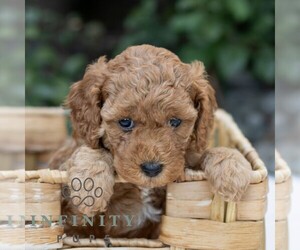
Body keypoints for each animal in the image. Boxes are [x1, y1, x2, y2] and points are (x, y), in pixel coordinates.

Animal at [51, 44, 251, 238]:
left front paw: (233, 170)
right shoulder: (72, 216)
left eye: (175, 121)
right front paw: (90, 185)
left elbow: (207, 153)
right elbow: (89, 154)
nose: (152, 169)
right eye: (125, 122)